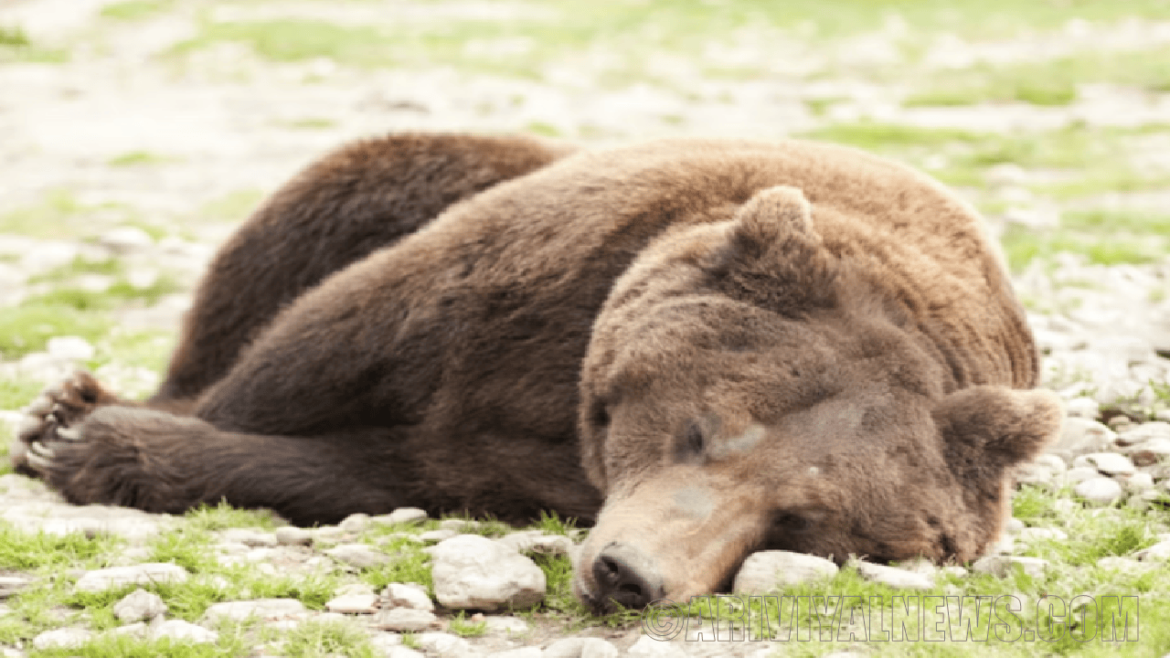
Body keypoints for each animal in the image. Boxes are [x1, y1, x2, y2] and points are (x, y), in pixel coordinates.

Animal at [12, 132, 1063, 614]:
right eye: (703, 429)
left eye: (800, 521)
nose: (630, 572)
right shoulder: (535, 275)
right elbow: (318, 346)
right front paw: (80, 424)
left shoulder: (527, 460)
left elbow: (388, 465)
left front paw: (109, 447)